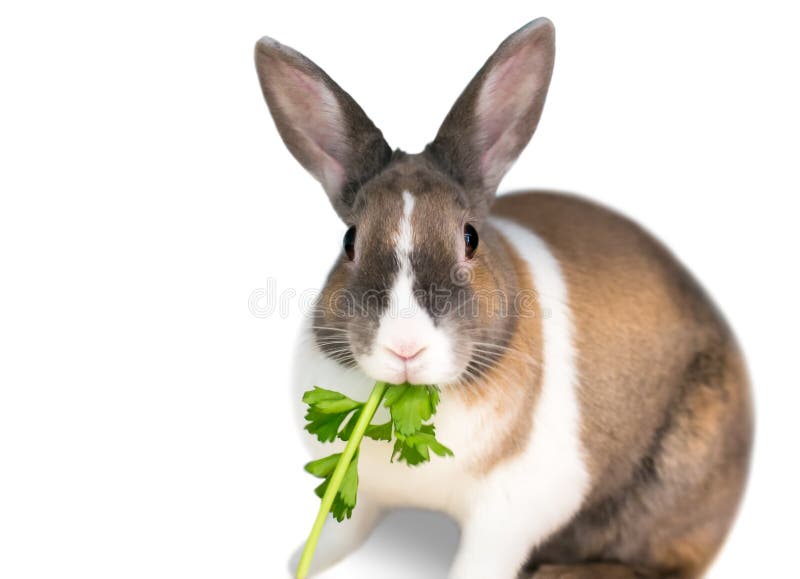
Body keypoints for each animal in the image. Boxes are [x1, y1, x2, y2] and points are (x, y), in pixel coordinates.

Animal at [254, 17, 753, 579]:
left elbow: (481, 559)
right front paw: (302, 560)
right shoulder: (360, 494)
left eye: (470, 237)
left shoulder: (512, 511)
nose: (405, 347)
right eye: (350, 240)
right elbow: (343, 529)